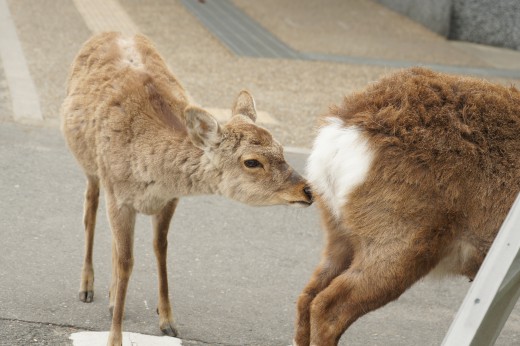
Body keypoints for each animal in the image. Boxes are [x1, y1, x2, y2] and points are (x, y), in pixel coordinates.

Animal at [61, 32, 312, 346]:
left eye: (281, 148)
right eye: (252, 162)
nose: (307, 190)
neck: (151, 172)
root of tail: (110, 31)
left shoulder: (170, 199)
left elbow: (160, 248)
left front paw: (168, 321)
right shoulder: (119, 195)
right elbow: (127, 261)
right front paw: (114, 338)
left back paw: (110, 297)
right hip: (91, 167)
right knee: (90, 211)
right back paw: (86, 287)